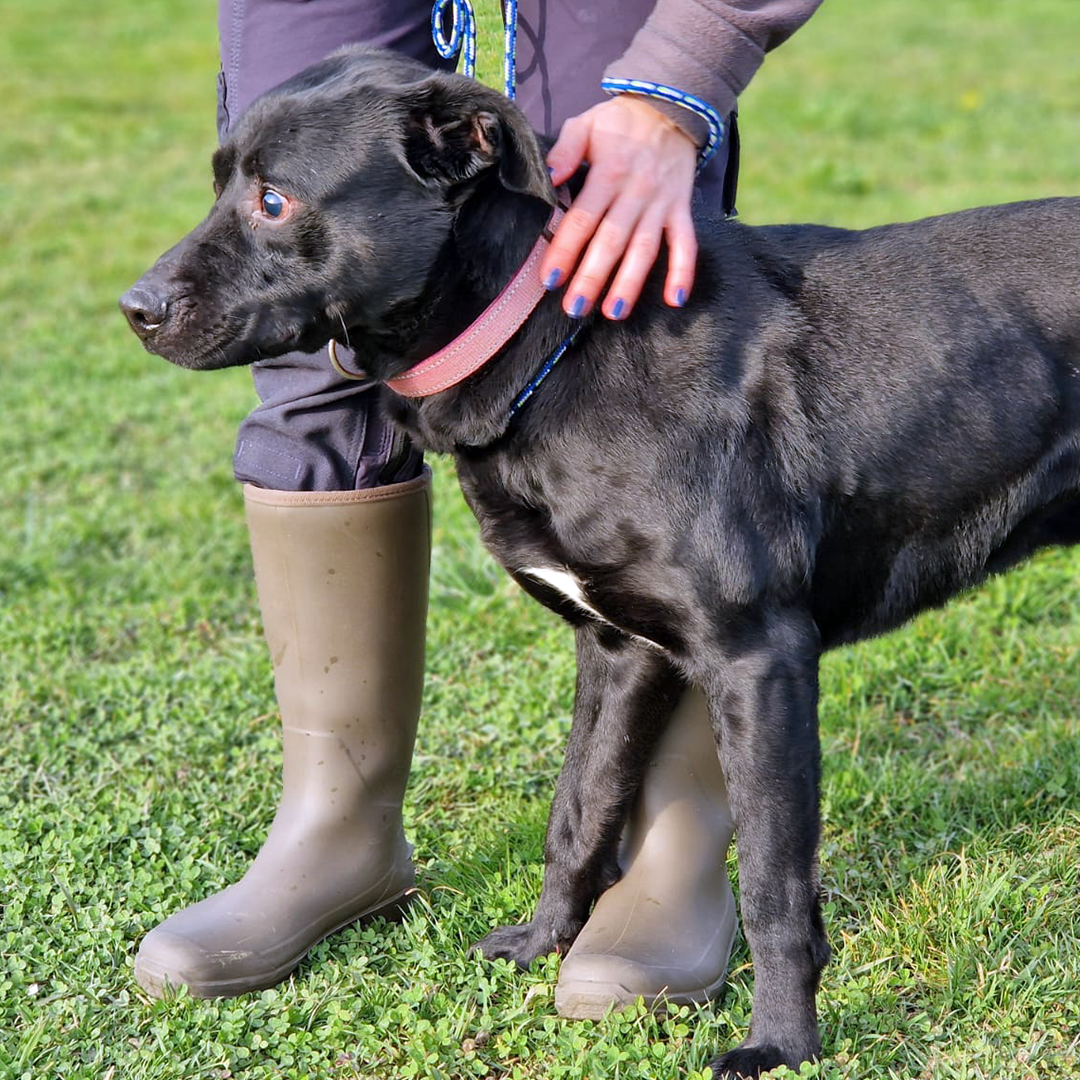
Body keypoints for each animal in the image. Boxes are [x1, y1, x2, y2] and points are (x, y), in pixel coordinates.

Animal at [120, 46, 1080, 1075]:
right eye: (220, 183)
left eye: (274, 200)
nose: (134, 310)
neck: (557, 336)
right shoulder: (620, 649)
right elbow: (579, 813)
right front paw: (543, 946)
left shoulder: (757, 655)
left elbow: (773, 880)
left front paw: (781, 1043)